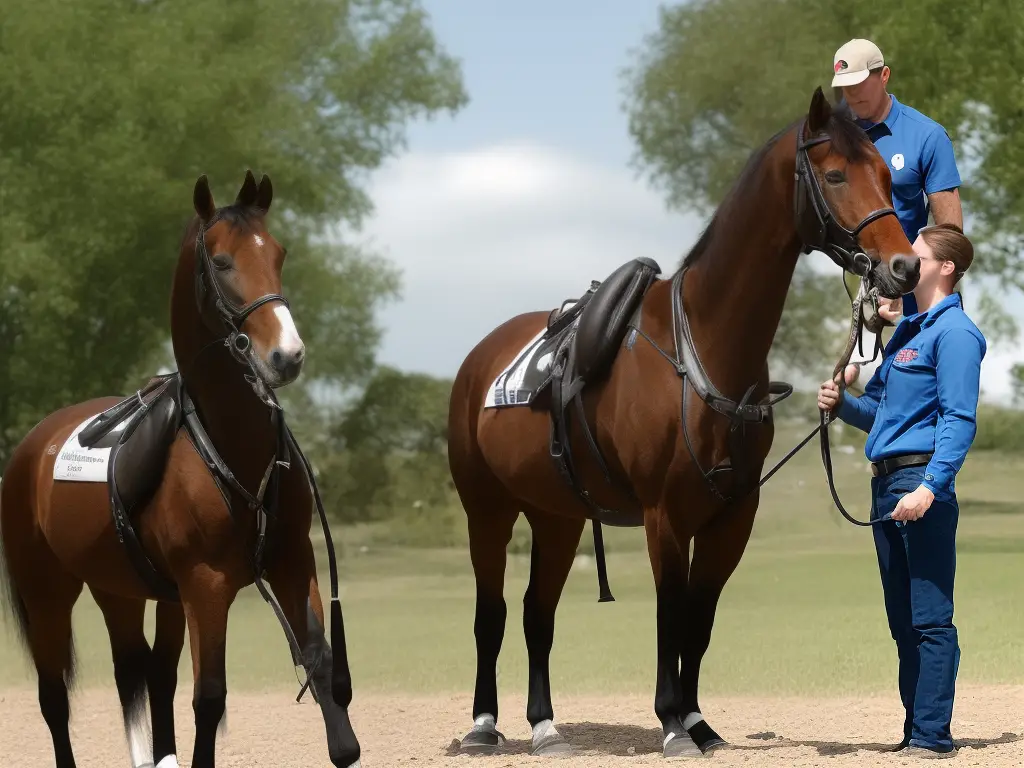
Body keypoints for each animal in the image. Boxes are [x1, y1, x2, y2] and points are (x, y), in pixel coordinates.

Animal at [0, 173, 362, 768]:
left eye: (278, 254)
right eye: (220, 261)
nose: (287, 356)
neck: (233, 446)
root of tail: (35, 443)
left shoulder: (292, 560)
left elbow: (321, 665)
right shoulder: (206, 585)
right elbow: (209, 696)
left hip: (122, 590)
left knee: (139, 674)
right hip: (46, 591)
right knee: (55, 699)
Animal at [446, 87, 921, 761]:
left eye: (886, 174)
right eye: (834, 175)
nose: (903, 268)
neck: (703, 345)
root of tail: (479, 359)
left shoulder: (732, 516)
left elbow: (700, 616)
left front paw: (698, 721)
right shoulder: (663, 515)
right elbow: (669, 612)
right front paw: (671, 722)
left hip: (557, 517)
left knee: (539, 613)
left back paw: (545, 727)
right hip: (486, 509)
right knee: (491, 613)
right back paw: (484, 726)